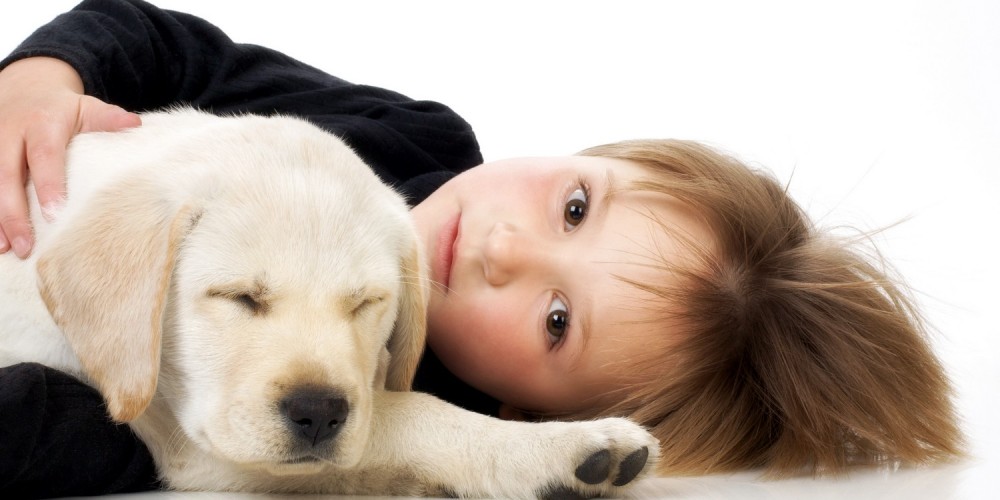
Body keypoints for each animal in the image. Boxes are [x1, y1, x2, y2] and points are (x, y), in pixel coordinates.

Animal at [0, 108, 660, 496]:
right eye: (239, 297)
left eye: (366, 303)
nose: (317, 412)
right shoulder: (195, 447)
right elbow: (404, 411)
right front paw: (567, 449)